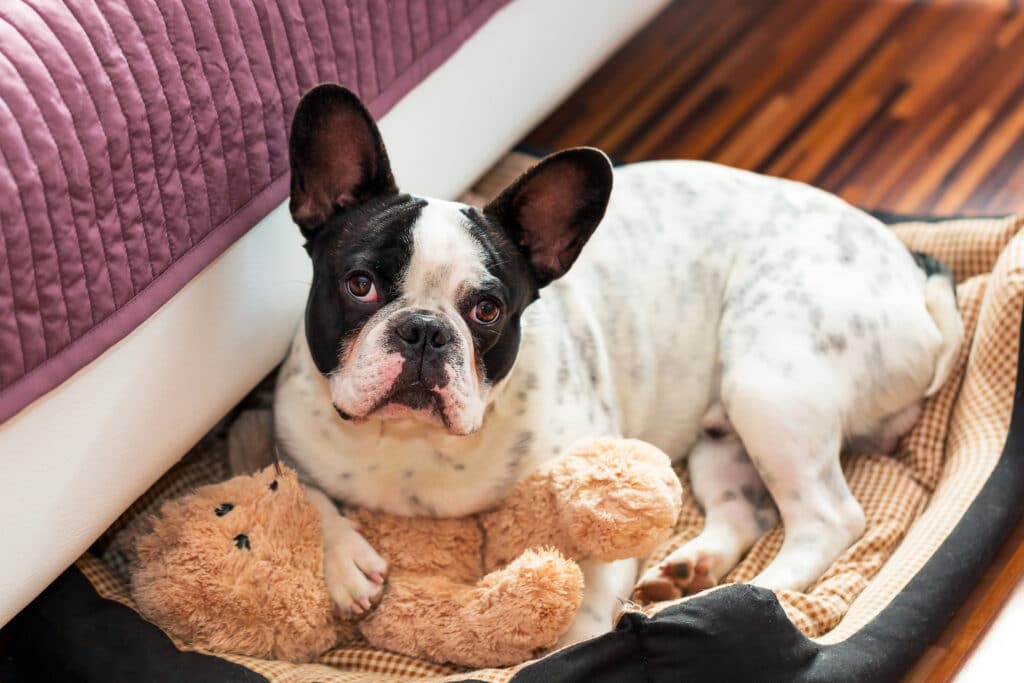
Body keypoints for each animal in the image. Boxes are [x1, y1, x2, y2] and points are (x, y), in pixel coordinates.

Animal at [272, 85, 958, 647]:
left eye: (488, 310)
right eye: (359, 285)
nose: (424, 330)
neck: (411, 443)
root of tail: (913, 271)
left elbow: (594, 579)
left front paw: (575, 645)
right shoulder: (289, 435)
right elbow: (299, 490)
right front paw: (344, 558)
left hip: (768, 381)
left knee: (826, 518)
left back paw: (755, 596)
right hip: (724, 432)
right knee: (748, 508)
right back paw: (692, 572)